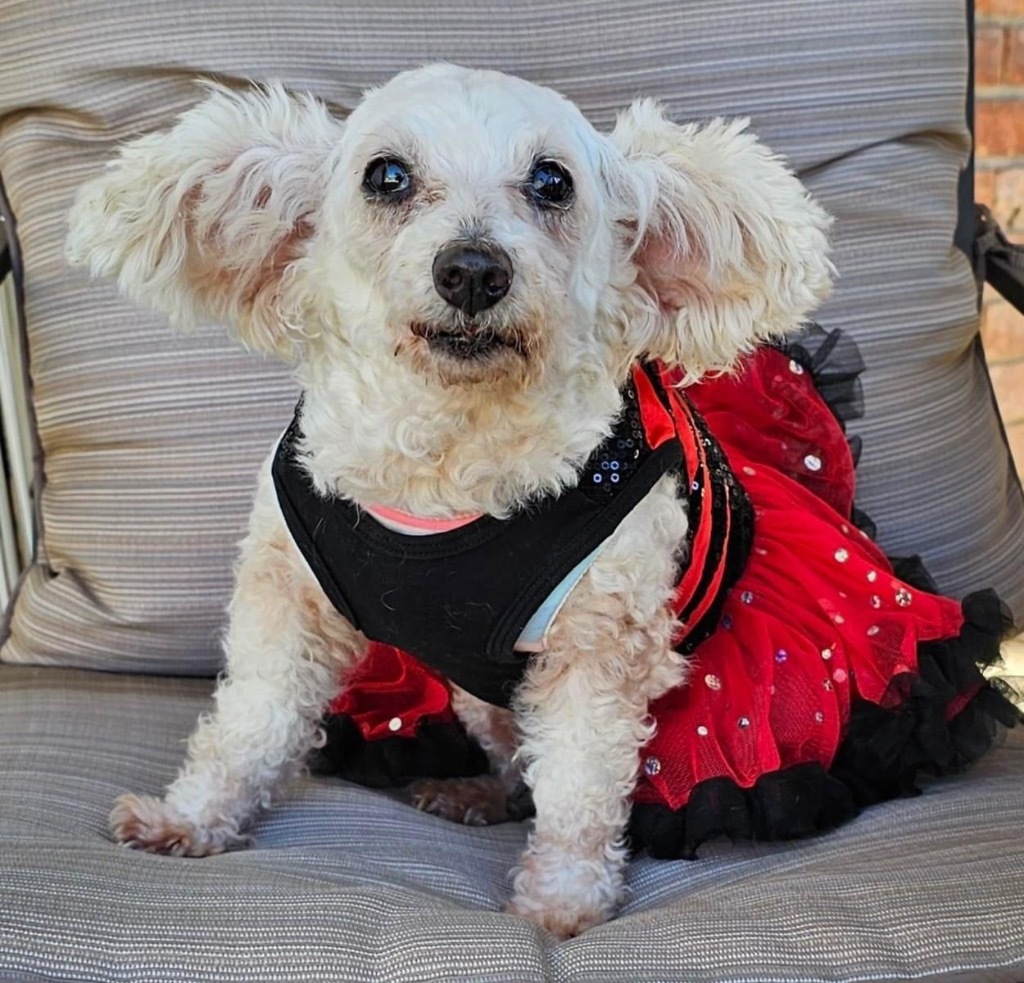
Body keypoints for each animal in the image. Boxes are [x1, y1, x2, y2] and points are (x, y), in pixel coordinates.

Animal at [66, 63, 831, 937]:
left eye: (553, 181)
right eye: (386, 175)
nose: (471, 269)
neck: (442, 466)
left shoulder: (600, 646)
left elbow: (580, 787)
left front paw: (561, 902)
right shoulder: (287, 602)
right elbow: (248, 723)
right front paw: (189, 818)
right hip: (480, 698)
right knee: (513, 763)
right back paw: (473, 790)